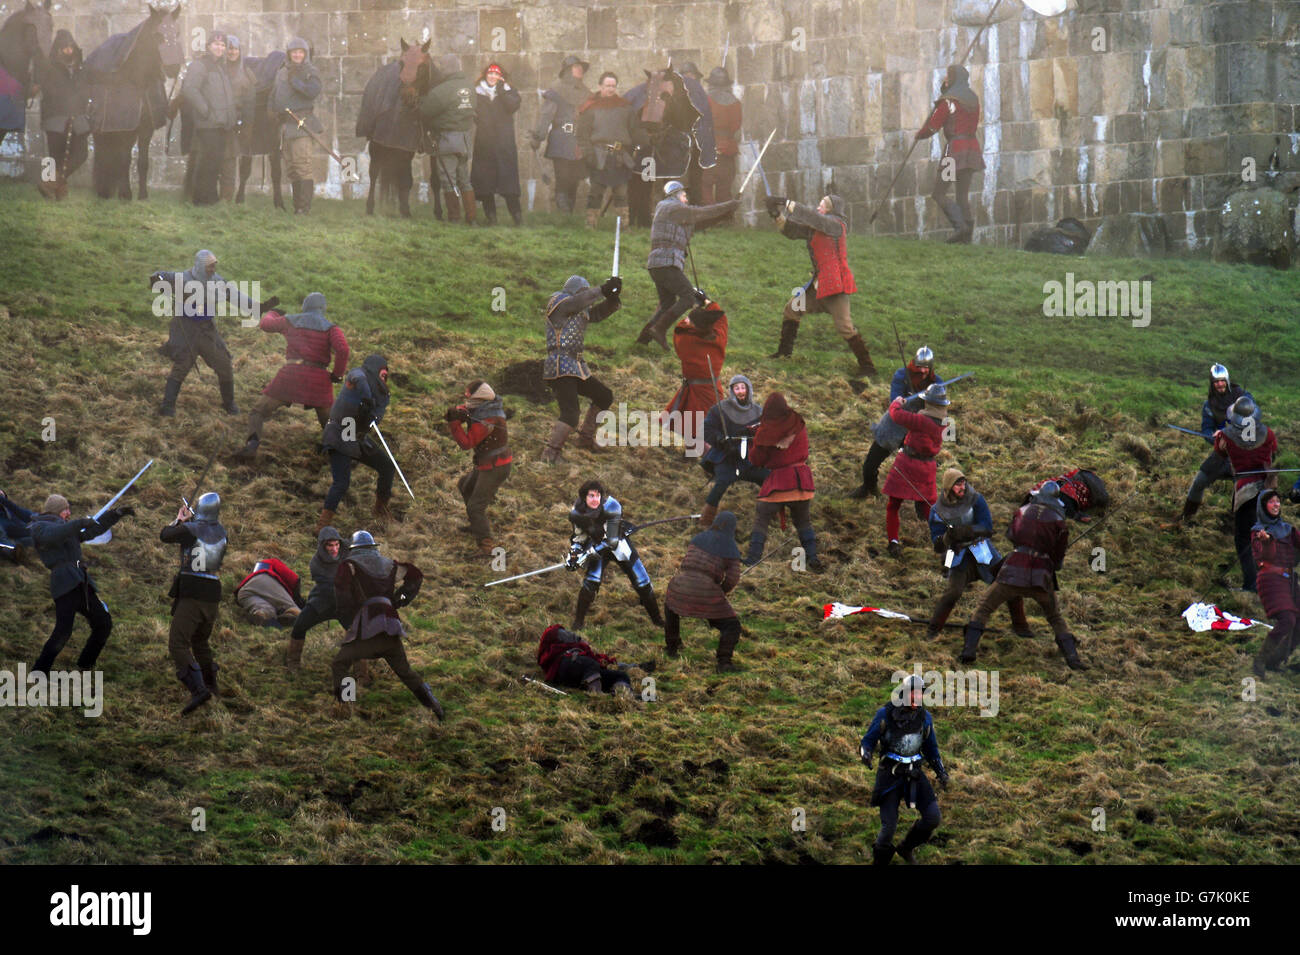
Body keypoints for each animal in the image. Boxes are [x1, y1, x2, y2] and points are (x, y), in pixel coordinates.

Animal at [83, 4, 183, 200]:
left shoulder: (145, 128)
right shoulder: (124, 127)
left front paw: (142, 195)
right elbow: (125, 159)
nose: (174, 68)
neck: (138, 81)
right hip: (101, 126)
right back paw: (104, 190)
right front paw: (125, 194)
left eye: (177, 33)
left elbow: (143, 161)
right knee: (104, 150)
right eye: (157, 35)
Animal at [356, 37, 431, 218]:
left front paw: (404, 209)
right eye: (402, 63)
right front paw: (403, 209)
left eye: (422, 66)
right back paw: (371, 206)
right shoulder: (392, 141)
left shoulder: (405, 146)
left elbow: (404, 177)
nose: (407, 95)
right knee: (375, 171)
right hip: (377, 143)